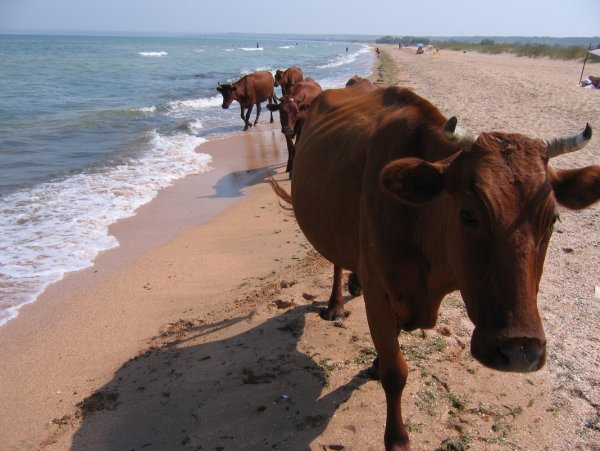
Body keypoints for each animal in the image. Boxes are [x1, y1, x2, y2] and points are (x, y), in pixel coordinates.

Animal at [272, 84, 600, 448]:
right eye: (469, 214)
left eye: (553, 219)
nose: (520, 351)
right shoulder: (379, 294)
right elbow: (395, 372)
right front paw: (397, 439)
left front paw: (375, 362)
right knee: (334, 261)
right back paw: (335, 305)